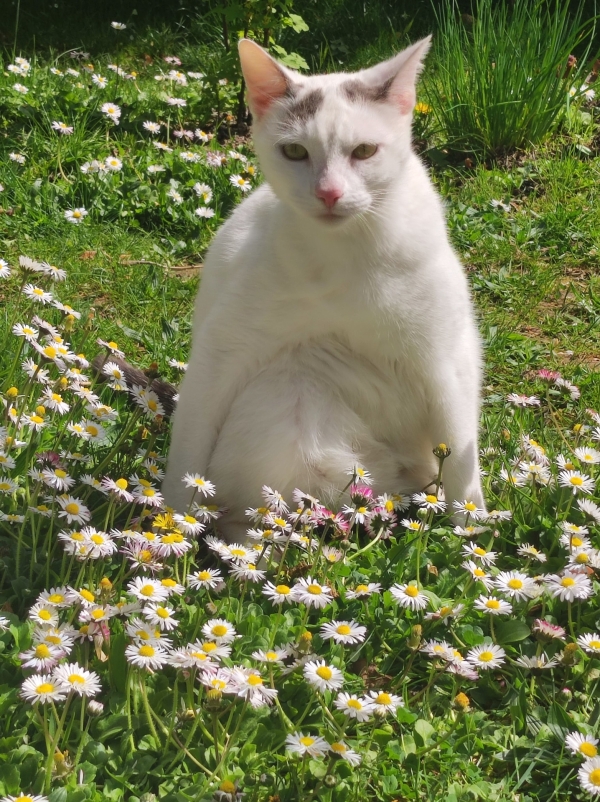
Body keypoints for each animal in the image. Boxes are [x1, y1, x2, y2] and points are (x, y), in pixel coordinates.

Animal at [164, 37, 488, 536]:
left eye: (365, 151)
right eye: (295, 152)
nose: (329, 193)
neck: (344, 259)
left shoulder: (446, 361)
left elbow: (461, 462)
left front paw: (472, 535)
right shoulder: (220, 354)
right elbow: (187, 455)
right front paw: (168, 526)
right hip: (288, 390)